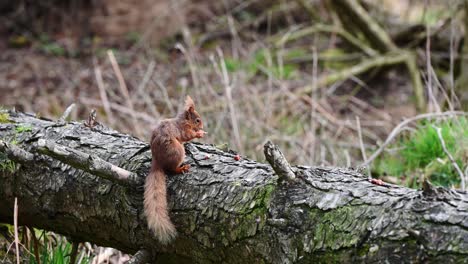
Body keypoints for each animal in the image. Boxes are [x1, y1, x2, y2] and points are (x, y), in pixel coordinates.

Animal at [144, 96, 205, 244]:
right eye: (197, 120)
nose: (202, 127)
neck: (183, 121)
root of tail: (157, 162)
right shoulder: (183, 130)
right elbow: (188, 136)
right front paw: (199, 133)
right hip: (177, 151)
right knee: (171, 169)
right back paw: (181, 168)